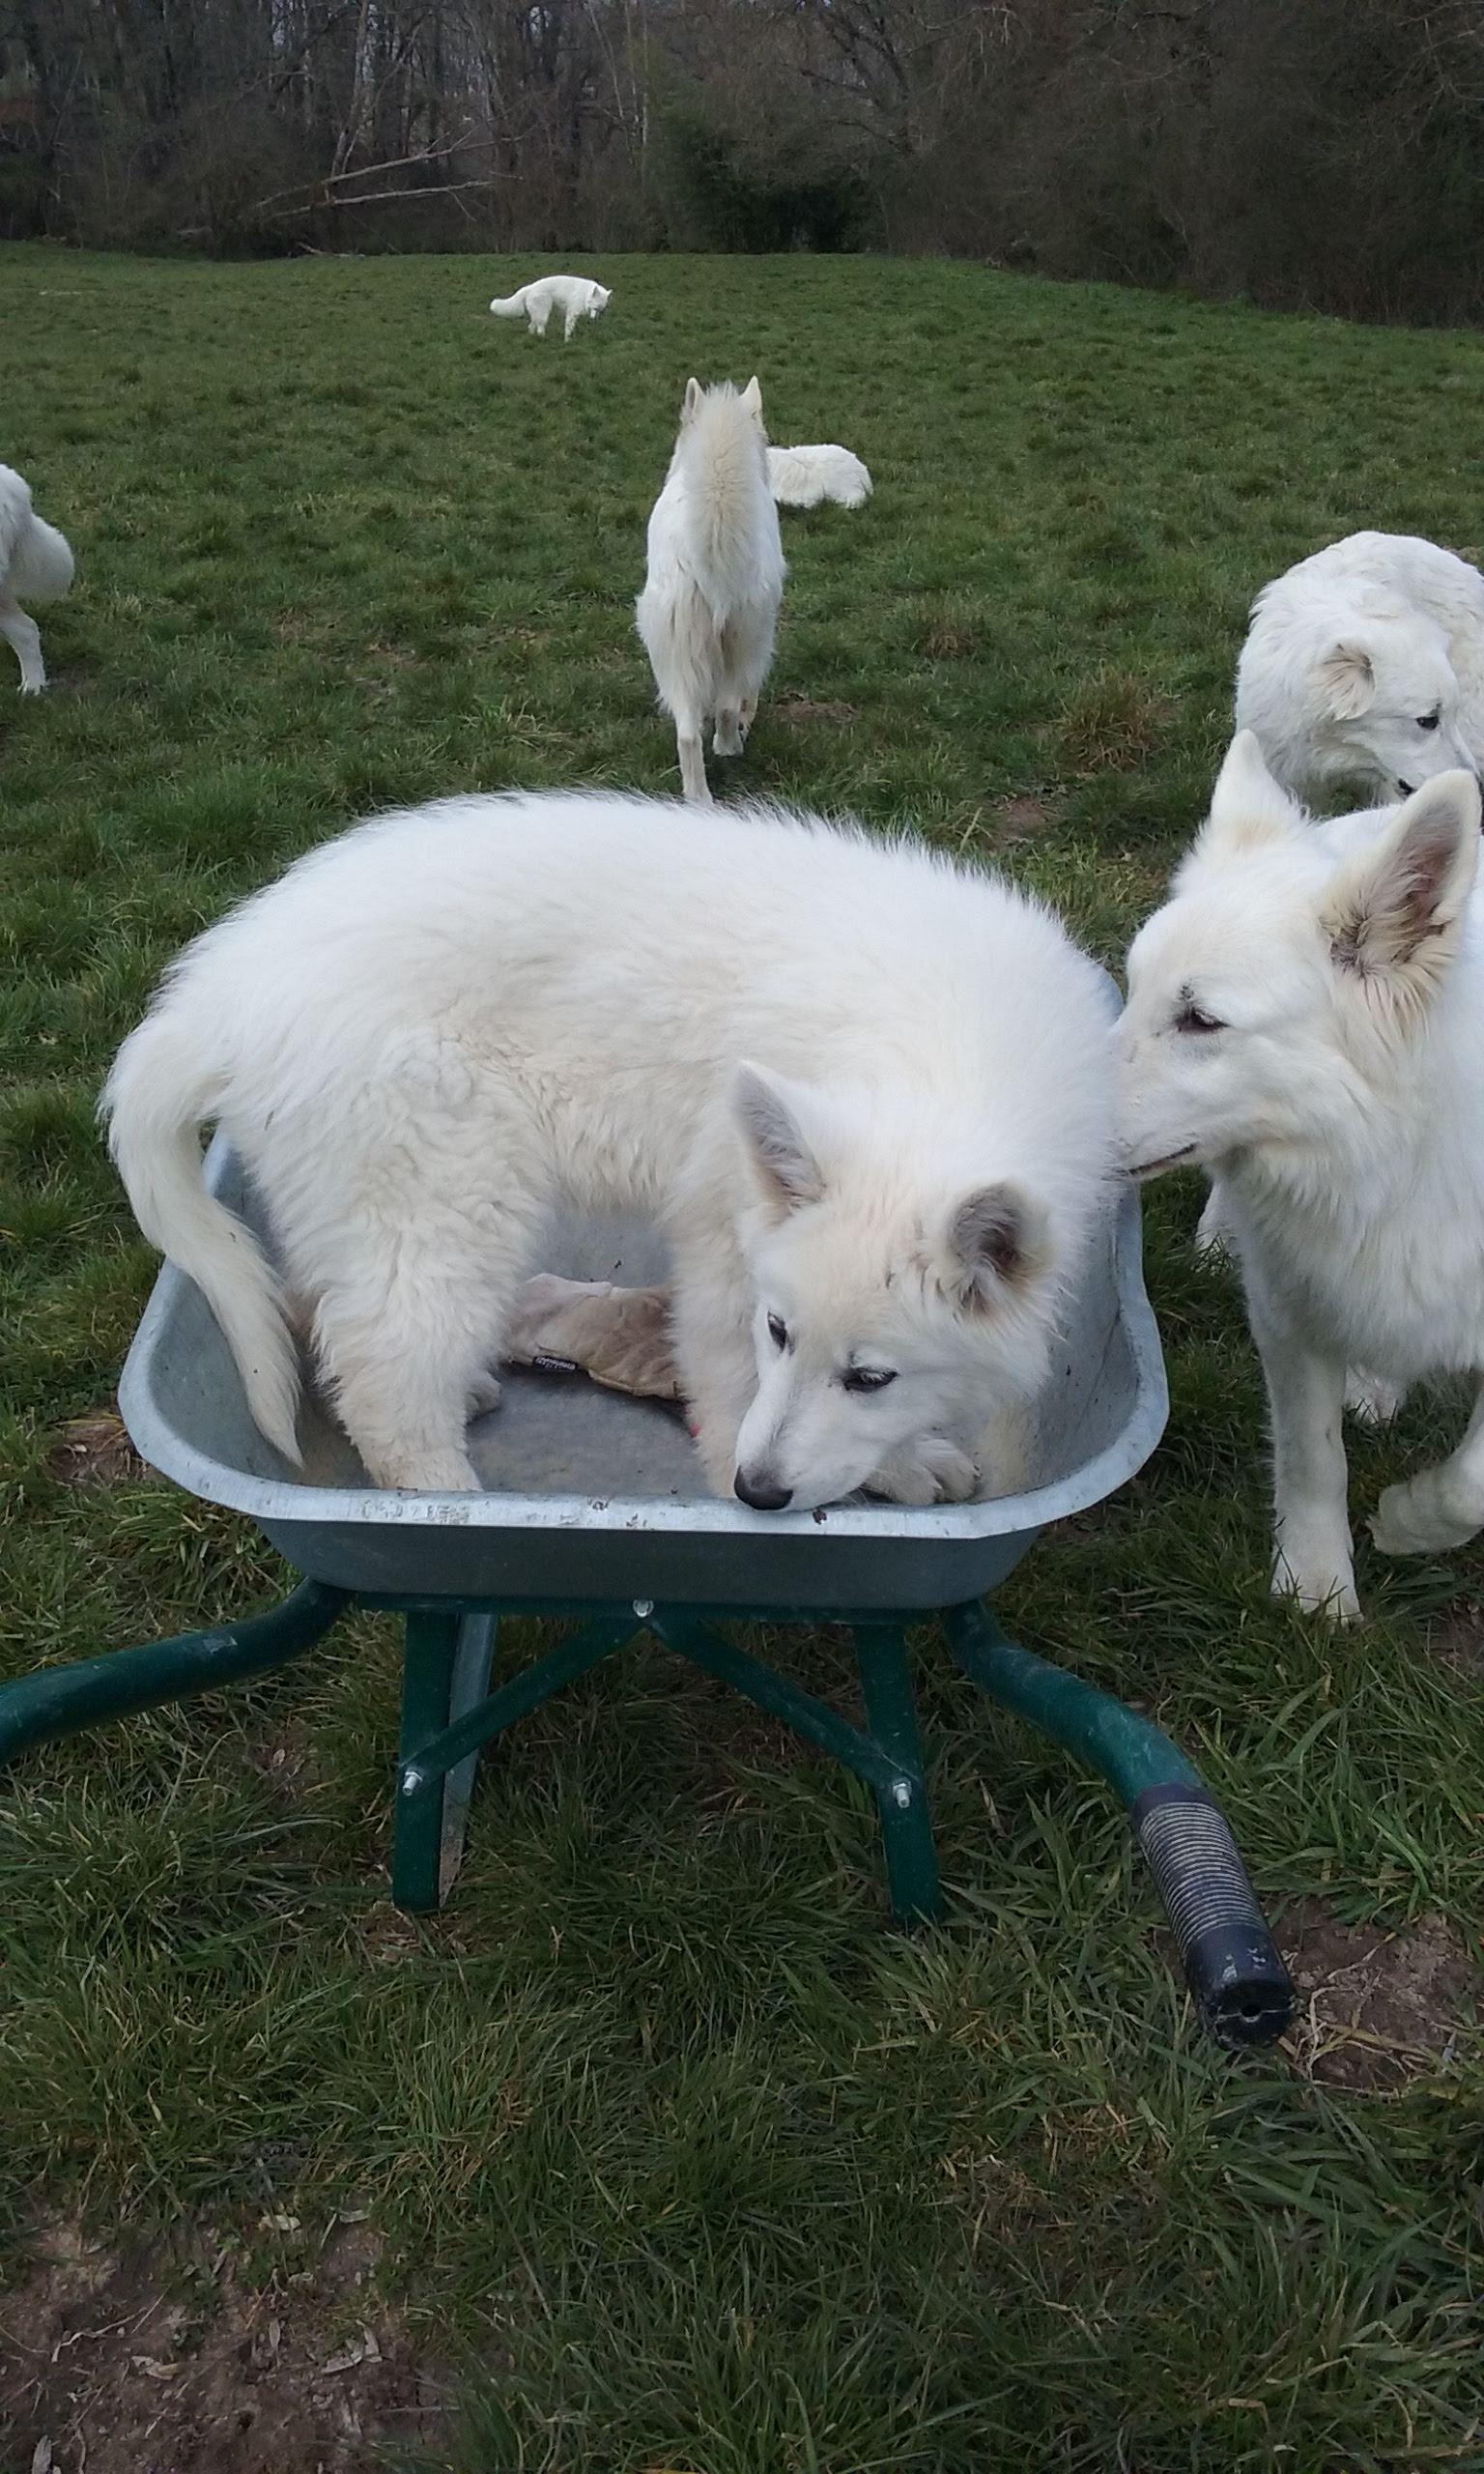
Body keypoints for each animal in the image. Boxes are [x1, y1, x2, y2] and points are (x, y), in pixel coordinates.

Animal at [106, 787, 1113, 1504]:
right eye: (780, 1332)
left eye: (870, 1376)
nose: (759, 1494)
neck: (937, 1053)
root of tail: (221, 987)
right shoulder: (723, 1236)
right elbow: (738, 1385)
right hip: (444, 1199)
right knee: (385, 1372)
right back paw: (448, 1501)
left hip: (350, 1191)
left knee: (329, 1311)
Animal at [633, 376, 786, 806]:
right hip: (748, 637)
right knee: (729, 707)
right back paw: (730, 747)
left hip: (674, 647)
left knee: (688, 734)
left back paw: (698, 799)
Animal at [1118, 727, 1484, 1623]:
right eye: (1132, 989)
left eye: (1200, 1020)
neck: (1390, 1163)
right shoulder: (1289, 1307)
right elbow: (1315, 1457)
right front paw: (1315, 1593)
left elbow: (1471, 1483)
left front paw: (1408, 1522)